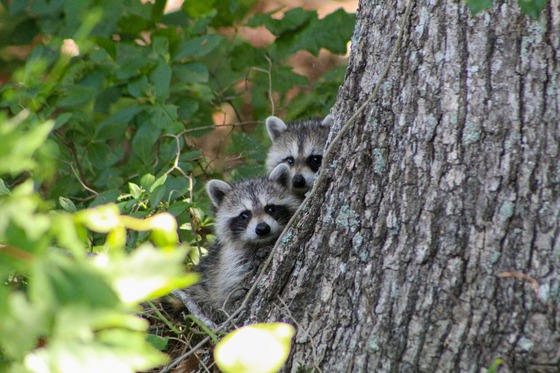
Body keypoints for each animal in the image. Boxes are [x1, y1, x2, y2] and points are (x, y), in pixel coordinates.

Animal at [188, 163, 300, 310]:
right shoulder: (228, 262)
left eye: (270, 208)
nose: (262, 229)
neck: (262, 242)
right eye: (244, 215)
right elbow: (228, 292)